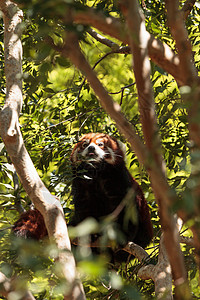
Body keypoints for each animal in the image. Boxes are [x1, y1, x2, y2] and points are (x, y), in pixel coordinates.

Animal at [12, 132, 153, 262]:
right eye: (85, 144)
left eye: (100, 144)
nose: (91, 148)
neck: (96, 174)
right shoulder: (82, 186)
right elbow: (85, 211)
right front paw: (90, 234)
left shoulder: (120, 183)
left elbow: (127, 212)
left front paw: (122, 236)